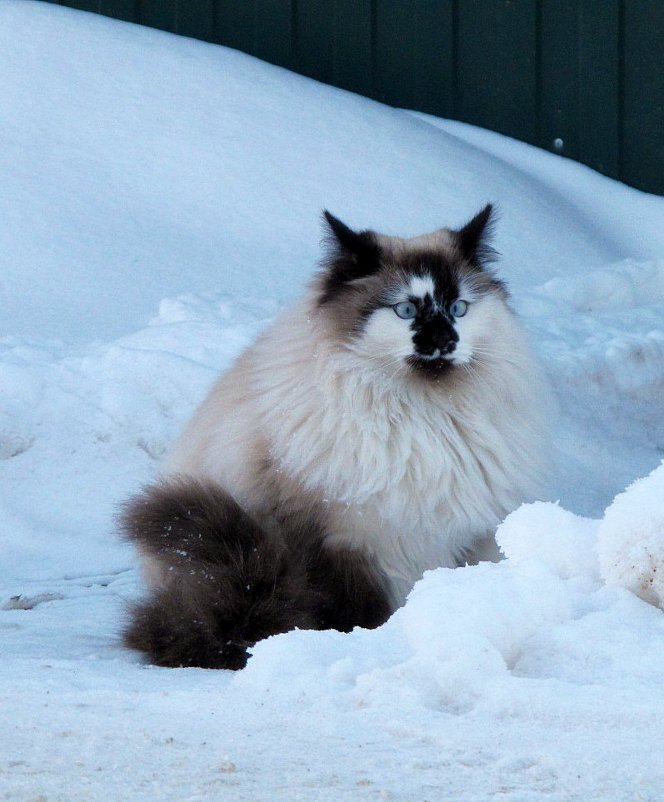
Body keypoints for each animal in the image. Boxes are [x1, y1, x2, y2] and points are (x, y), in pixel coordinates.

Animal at [122, 205, 548, 668]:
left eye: (458, 308)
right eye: (405, 311)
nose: (443, 341)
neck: (424, 415)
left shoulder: (458, 540)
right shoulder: (340, 542)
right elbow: (352, 612)